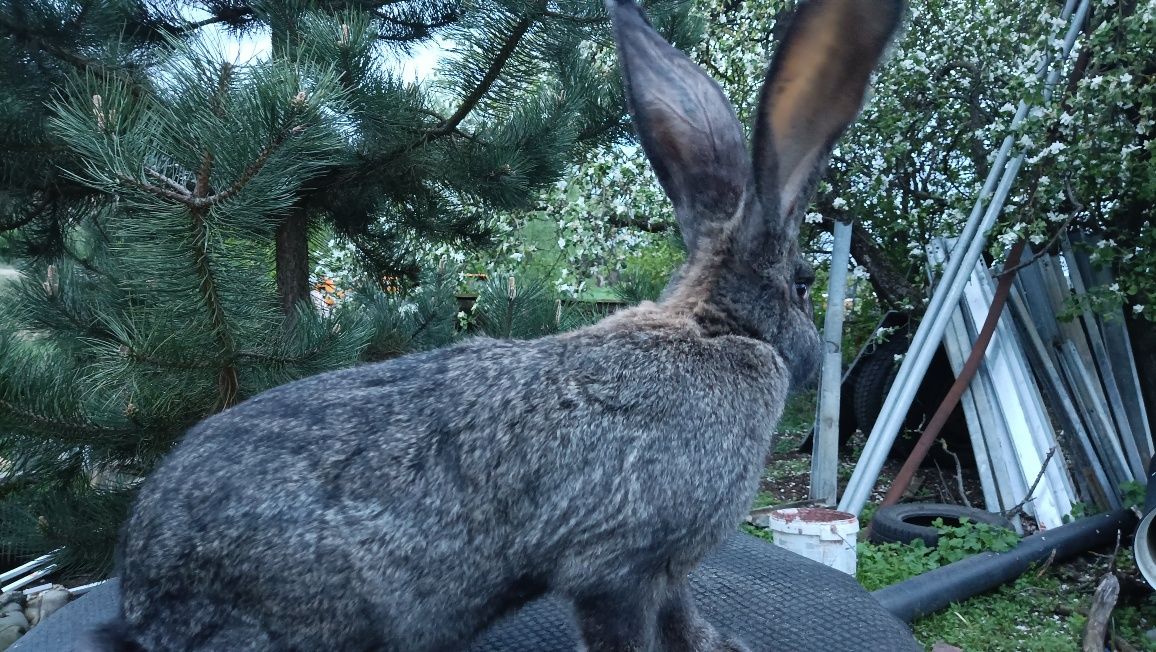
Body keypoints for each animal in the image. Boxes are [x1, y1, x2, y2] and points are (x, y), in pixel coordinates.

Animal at [92, 0, 901, 647]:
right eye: (805, 284)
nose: (820, 349)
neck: (719, 325)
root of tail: (141, 597)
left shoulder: (664, 573)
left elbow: (682, 618)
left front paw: (717, 645)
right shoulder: (619, 566)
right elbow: (632, 629)